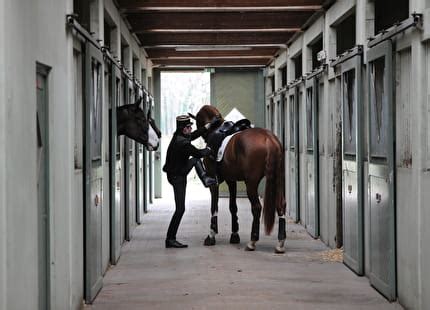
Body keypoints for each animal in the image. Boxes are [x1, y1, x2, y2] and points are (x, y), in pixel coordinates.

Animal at [195, 105, 286, 253]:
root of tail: (269, 139)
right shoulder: (231, 181)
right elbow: (233, 207)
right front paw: (234, 235)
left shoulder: (214, 183)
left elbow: (214, 207)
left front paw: (211, 236)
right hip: (278, 180)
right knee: (281, 205)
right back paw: (280, 243)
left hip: (251, 183)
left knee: (257, 207)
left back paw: (252, 242)